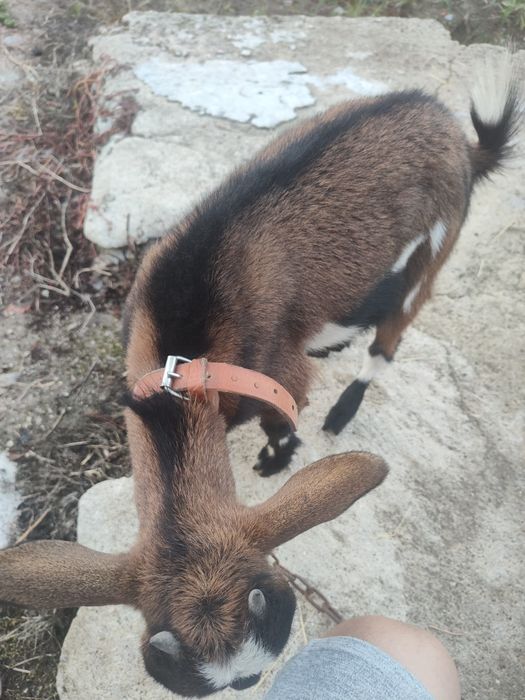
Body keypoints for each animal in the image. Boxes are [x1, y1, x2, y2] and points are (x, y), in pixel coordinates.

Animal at [0, 58, 520, 696]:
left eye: (254, 670)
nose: (250, 683)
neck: (181, 369)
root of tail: (464, 141)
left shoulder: (278, 374)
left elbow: (282, 417)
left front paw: (278, 457)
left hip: (436, 246)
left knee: (390, 336)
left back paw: (345, 406)